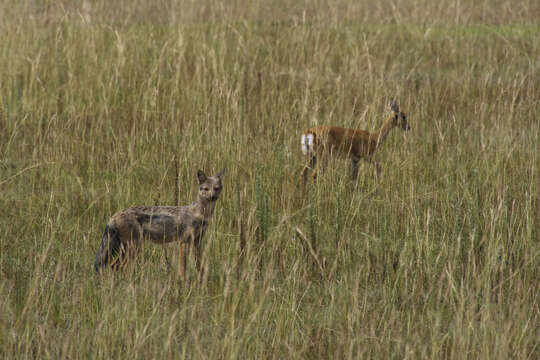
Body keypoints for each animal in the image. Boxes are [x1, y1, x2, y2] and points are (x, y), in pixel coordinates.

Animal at [94, 169, 225, 282]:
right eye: (206, 189)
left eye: (216, 188)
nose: (212, 197)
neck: (200, 215)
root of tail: (113, 216)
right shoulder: (183, 242)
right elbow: (183, 267)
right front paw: (182, 282)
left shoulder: (197, 242)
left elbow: (199, 266)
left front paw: (202, 281)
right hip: (134, 248)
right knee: (121, 267)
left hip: (127, 249)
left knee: (113, 266)